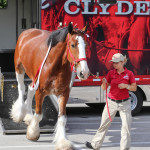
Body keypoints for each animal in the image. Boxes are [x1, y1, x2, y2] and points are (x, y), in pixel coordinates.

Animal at [11, 22, 89, 150]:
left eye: (86, 45)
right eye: (73, 45)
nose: (84, 72)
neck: (54, 65)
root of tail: (27, 32)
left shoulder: (64, 93)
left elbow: (62, 118)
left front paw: (63, 142)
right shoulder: (40, 91)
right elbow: (38, 115)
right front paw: (33, 133)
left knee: (30, 89)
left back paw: (28, 116)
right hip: (19, 69)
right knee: (21, 89)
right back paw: (20, 113)